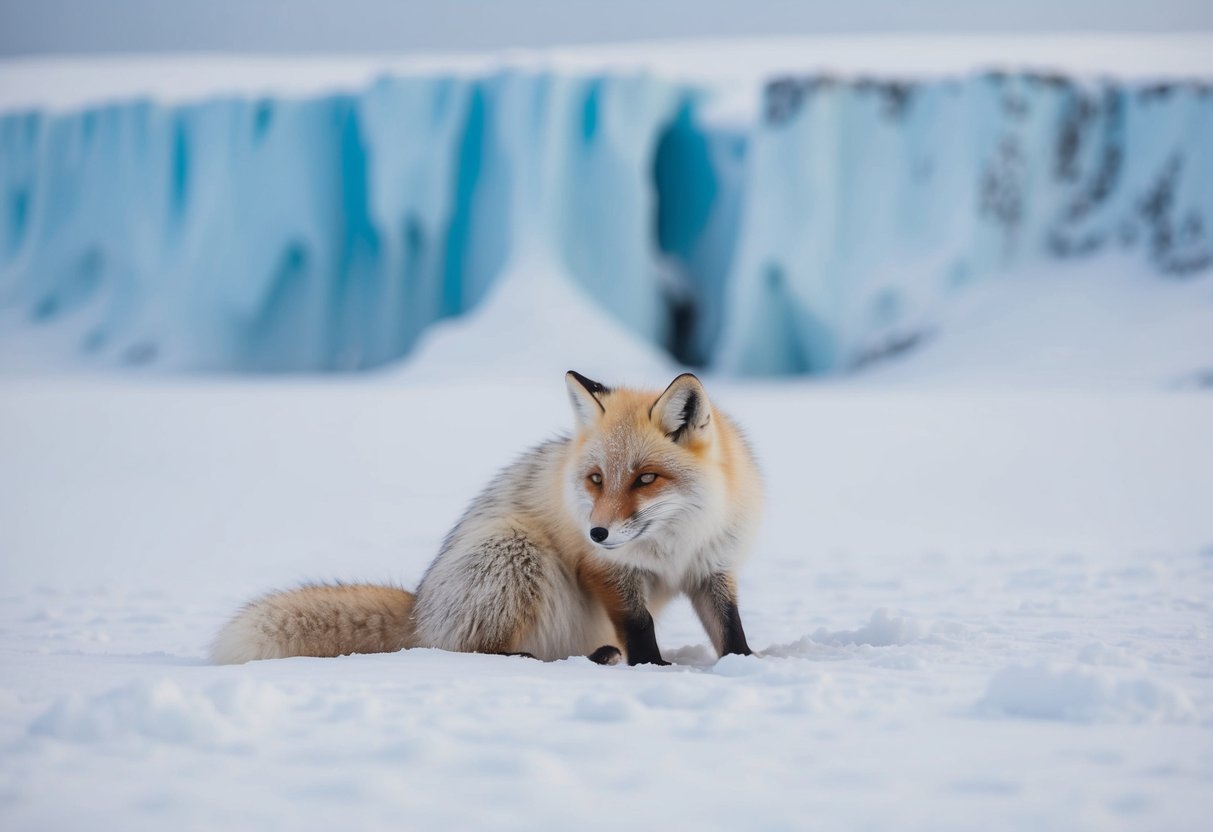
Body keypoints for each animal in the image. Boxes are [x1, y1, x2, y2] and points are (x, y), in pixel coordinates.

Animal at [211, 371, 763, 667]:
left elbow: (730, 627)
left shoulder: (712, 567)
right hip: (515, 550)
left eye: (646, 478)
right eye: (596, 479)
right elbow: (639, 623)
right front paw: (652, 667)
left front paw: (746, 664)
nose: (596, 531)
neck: (674, 544)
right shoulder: (607, 571)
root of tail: (419, 608)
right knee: (473, 651)